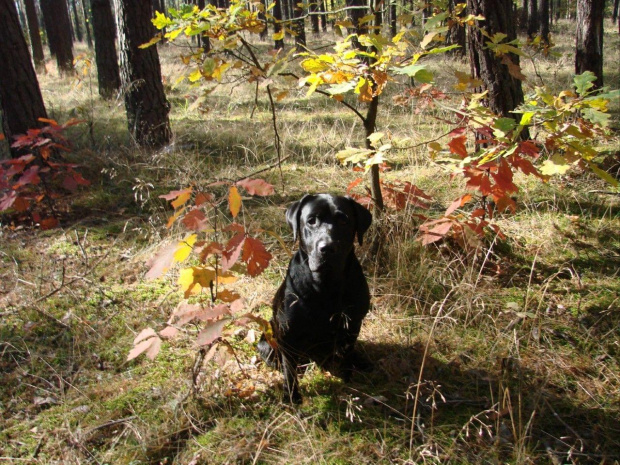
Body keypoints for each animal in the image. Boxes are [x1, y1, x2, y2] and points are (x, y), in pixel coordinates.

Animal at [258, 193, 372, 402]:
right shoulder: (288, 334)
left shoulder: (352, 323)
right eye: (311, 221)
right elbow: (289, 371)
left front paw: (347, 377)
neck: (325, 285)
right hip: (269, 340)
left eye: (343, 220)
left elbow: (347, 353)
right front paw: (292, 396)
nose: (327, 248)